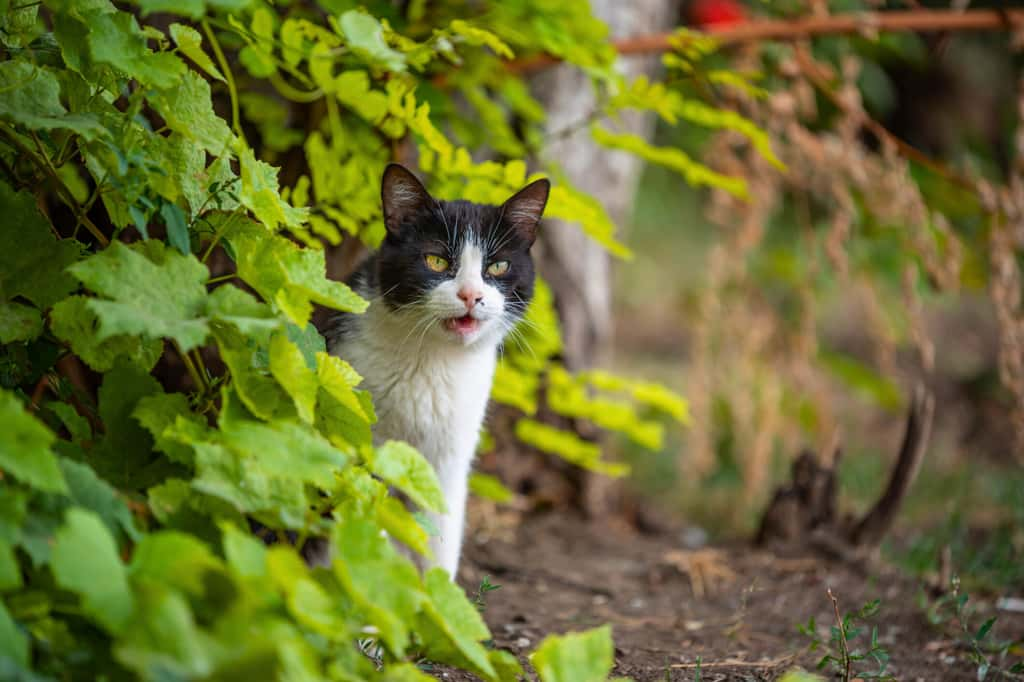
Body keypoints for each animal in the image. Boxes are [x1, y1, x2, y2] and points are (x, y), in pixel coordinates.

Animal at [327, 163, 552, 573]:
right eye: (436, 261)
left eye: (498, 266)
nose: (471, 295)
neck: (432, 360)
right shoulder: (358, 426)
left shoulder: (449, 458)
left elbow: (442, 535)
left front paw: (436, 590)